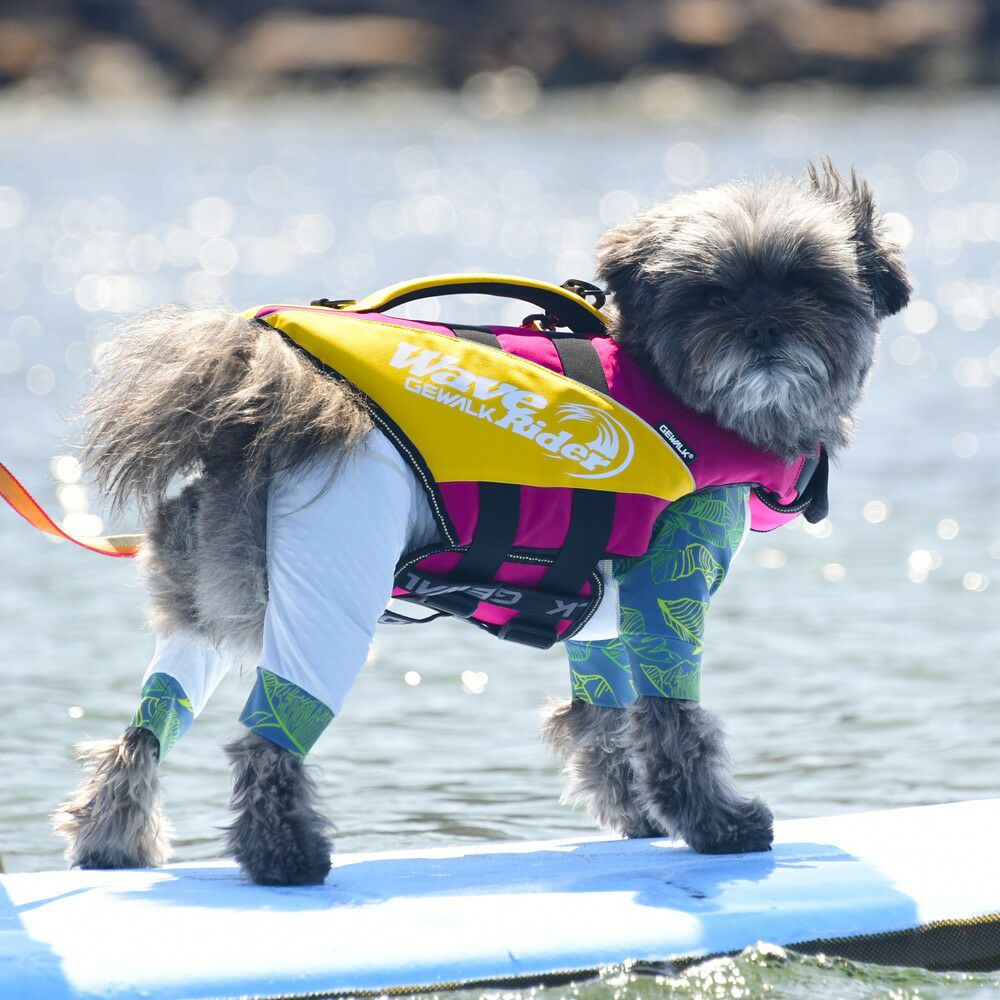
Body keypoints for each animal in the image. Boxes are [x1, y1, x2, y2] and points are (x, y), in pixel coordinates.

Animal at [53, 162, 910, 885]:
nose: (764, 326)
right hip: (329, 598)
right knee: (268, 737)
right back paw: (283, 856)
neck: (676, 393)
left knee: (145, 729)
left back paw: (110, 838)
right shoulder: (672, 586)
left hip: (204, 617)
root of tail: (274, 407)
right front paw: (715, 824)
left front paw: (636, 815)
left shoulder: (604, 617)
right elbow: (673, 721)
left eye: (811, 284)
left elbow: (601, 721)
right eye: (711, 294)